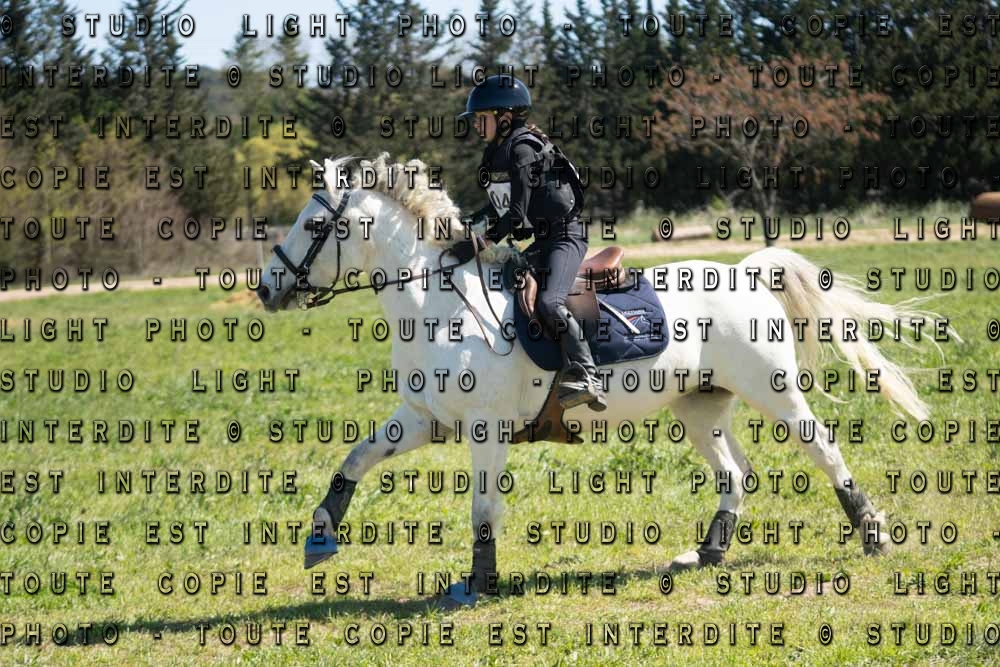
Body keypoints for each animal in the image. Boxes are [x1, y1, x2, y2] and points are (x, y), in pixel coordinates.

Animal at [256, 153, 949, 606]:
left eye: (314, 225)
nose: (265, 288)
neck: (440, 305)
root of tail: (746, 271)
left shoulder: (485, 430)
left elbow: (482, 509)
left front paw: (478, 584)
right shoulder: (426, 420)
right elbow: (356, 457)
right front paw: (320, 533)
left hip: (772, 390)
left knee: (824, 449)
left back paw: (873, 536)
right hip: (699, 406)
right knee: (736, 473)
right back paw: (706, 552)